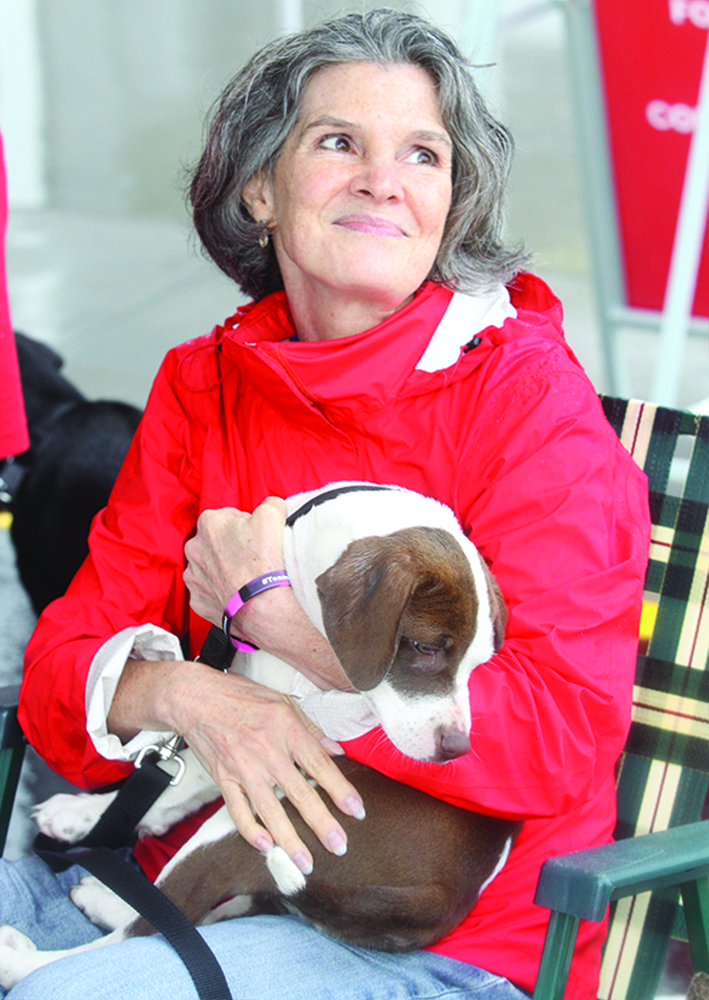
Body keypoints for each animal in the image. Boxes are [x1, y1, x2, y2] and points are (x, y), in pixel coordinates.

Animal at [0, 480, 520, 988]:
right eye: (426, 648)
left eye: (477, 667)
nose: (458, 750)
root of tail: (447, 897)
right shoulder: (244, 718)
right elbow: (182, 774)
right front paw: (80, 814)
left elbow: (189, 774)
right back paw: (105, 900)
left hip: (266, 828)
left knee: (155, 926)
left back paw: (25, 959)